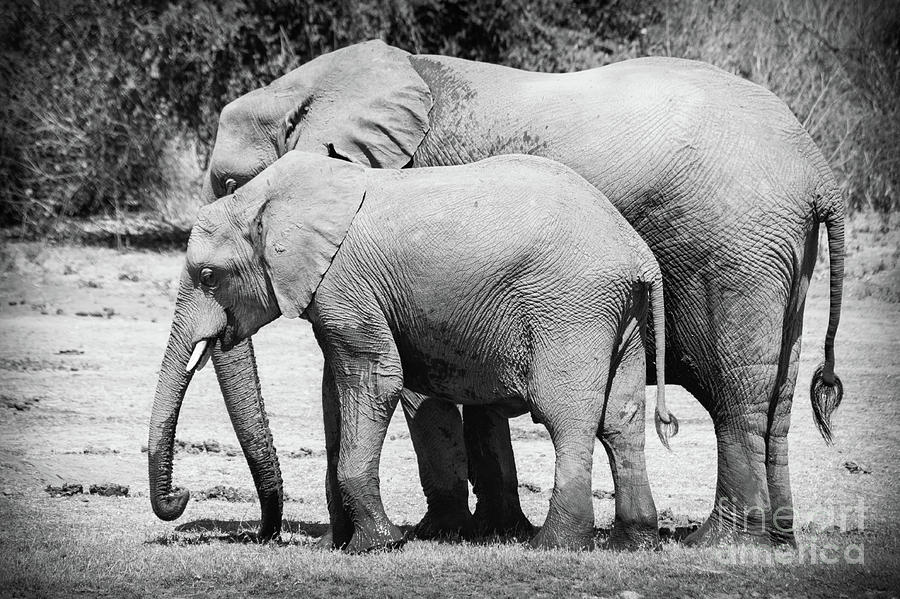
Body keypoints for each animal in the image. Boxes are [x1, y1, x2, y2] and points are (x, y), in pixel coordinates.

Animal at [171, 154, 676, 552]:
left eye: (209, 276)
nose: (263, 536)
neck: (265, 196)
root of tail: (638, 254)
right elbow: (335, 394)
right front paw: (336, 545)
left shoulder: (343, 283)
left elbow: (375, 380)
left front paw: (376, 546)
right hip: (622, 314)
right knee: (622, 422)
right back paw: (633, 544)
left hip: (571, 309)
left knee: (567, 418)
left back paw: (553, 545)